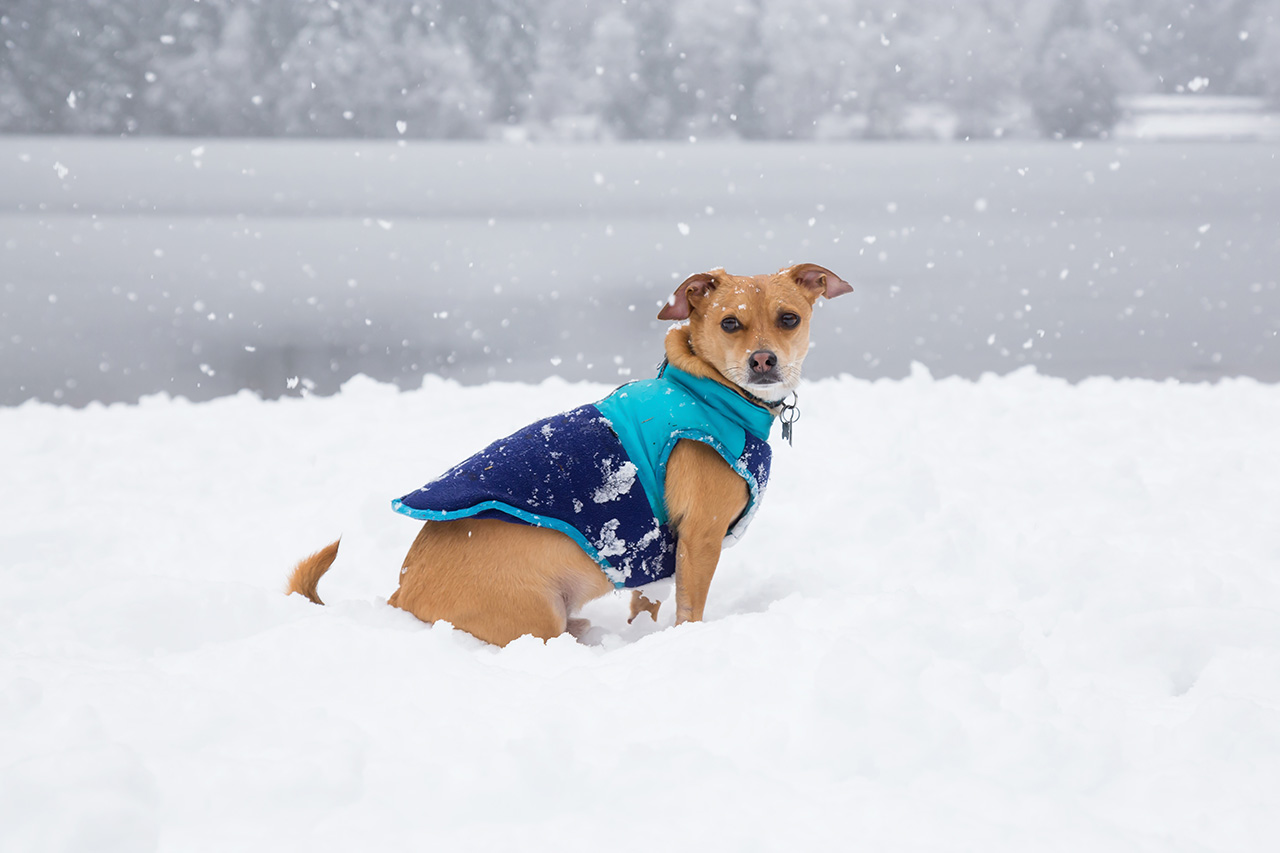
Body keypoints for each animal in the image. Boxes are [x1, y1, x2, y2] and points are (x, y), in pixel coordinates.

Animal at [288, 262, 849, 640]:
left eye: (789, 318)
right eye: (730, 323)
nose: (763, 360)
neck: (707, 393)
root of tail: (400, 597)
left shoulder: (655, 557)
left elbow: (645, 604)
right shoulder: (700, 538)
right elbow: (690, 610)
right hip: (537, 614)